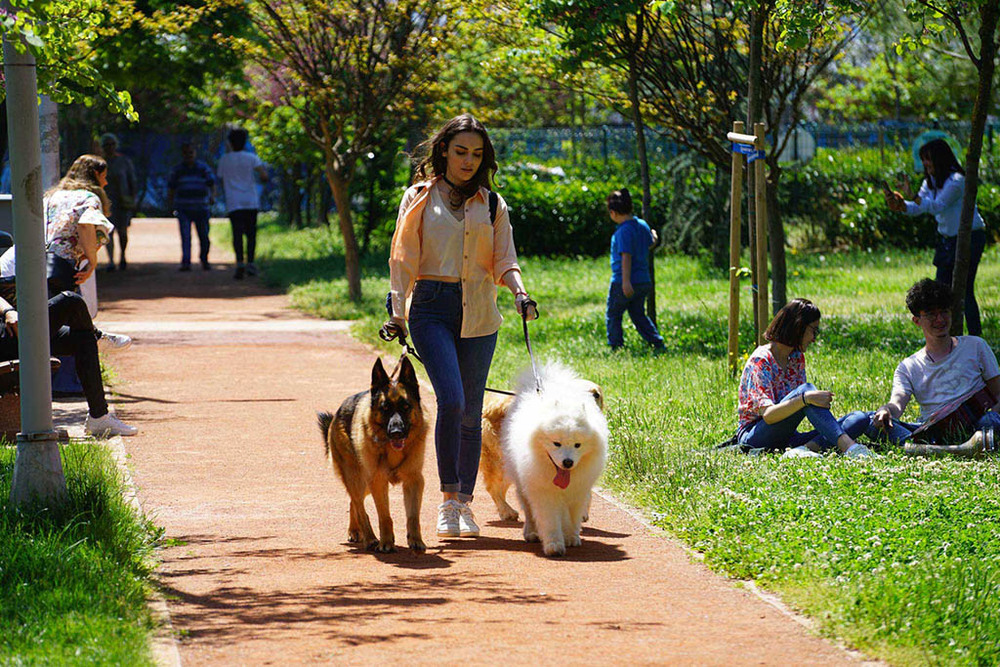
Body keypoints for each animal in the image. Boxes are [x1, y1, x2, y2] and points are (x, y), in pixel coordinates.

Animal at [318, 358, 428, 556]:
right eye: (385, 408)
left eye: (406, 407)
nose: (396, 433)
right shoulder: (378, 481)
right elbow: (384, 517)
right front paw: (386, 543)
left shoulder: (413, 481)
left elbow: (413, 516)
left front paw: (416, 541)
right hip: (357, 478)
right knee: (359, 506)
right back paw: (369, 538)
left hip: (364, 483)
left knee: (354, 502)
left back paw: (355, 530)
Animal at [504, 362, 604, 556]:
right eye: (556, 443)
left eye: (578, 445)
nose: (568, 462)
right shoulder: (544, 492)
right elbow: (550, 519)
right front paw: (554, 545)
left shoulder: (578, 492)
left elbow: (573, 517)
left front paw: (571, 538)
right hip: (522, 484)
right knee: (529, 510)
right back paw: (532, 533)